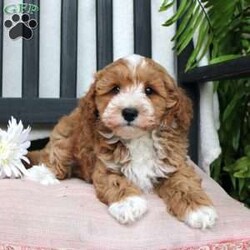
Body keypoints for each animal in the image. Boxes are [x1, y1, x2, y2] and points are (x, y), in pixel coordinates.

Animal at [27, 54, 217, 229]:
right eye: (115, 89)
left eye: (149, 91)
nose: (129, 112)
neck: (137, 139)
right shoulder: (106, 167)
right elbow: (116, 182)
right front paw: (128, 204)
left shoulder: (174, 164)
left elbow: (185, 184)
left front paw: (199, 210)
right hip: (66, 137)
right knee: (54, 157)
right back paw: (42, 173)